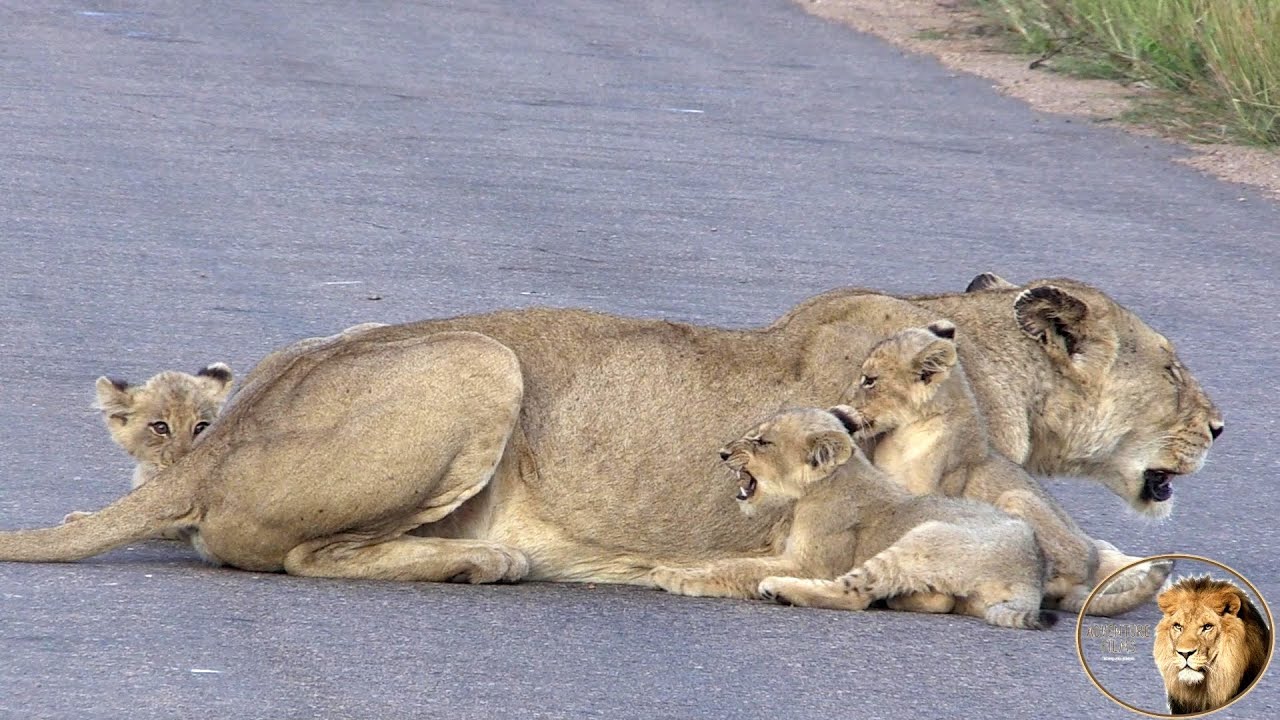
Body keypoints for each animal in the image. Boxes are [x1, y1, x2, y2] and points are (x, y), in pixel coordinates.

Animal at [649, 407, 1051, 629]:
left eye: (763, 443)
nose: (722, 453)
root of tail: (1033, 571)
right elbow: (731, 560)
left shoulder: (811, 565)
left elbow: (738, 568)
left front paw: (672, 575)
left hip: (926, 535)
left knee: (854, 594)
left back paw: (778, 589)